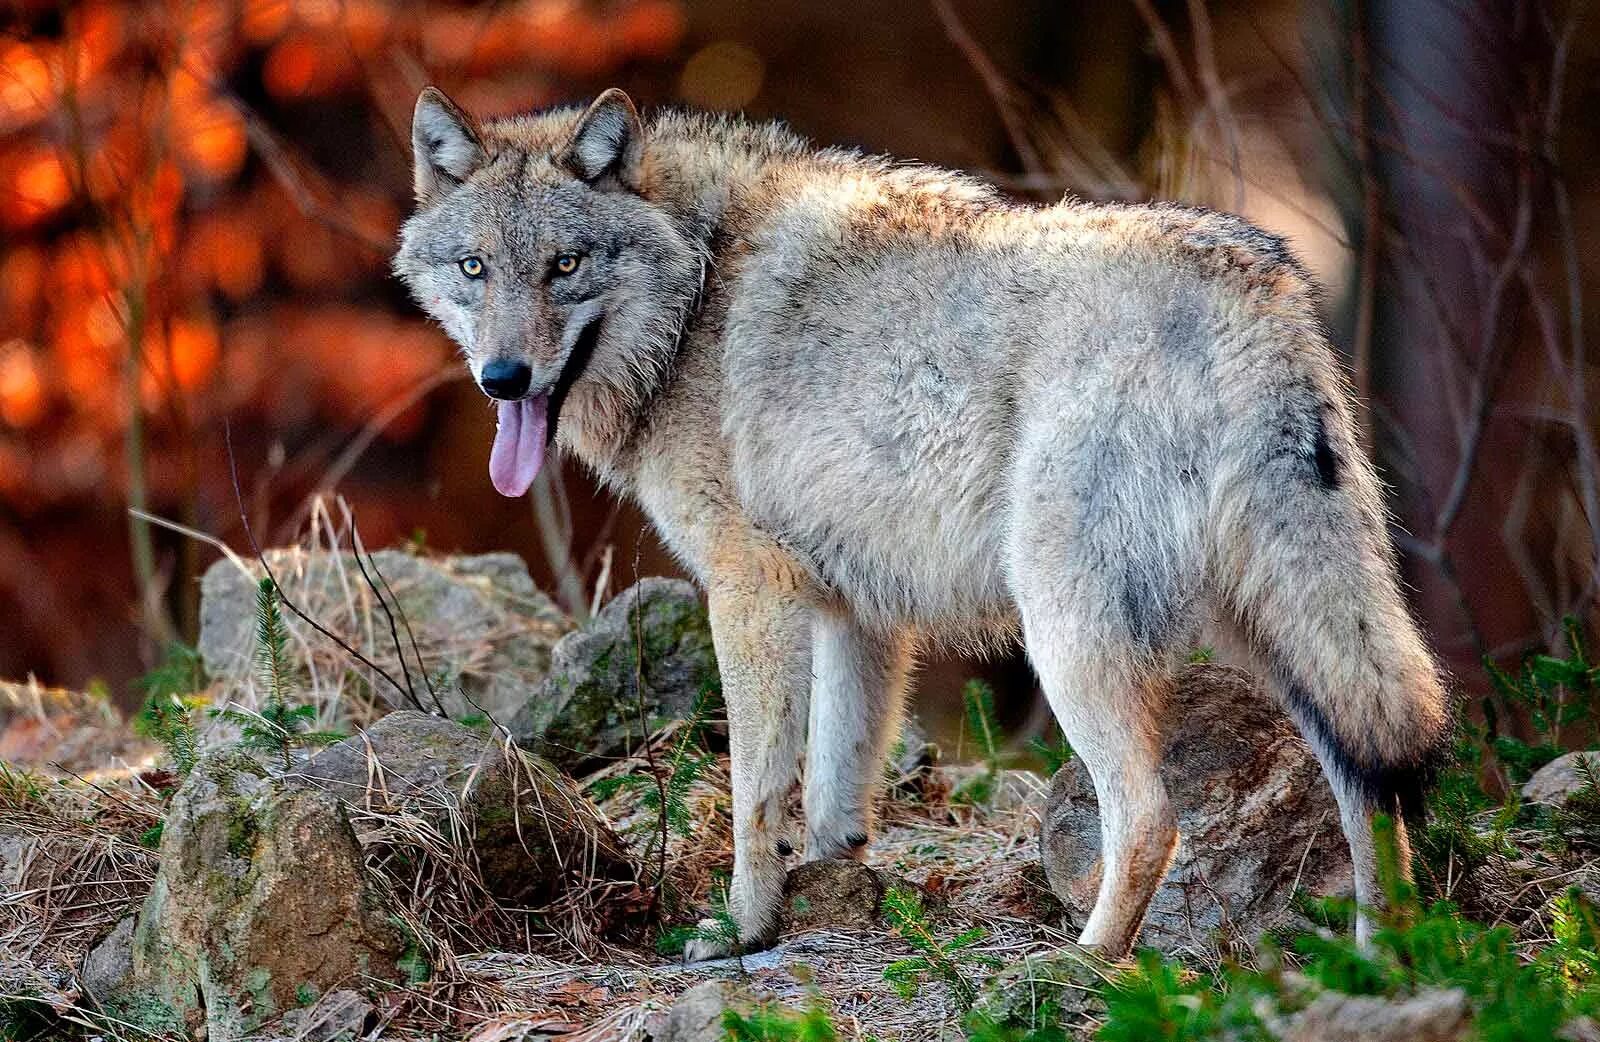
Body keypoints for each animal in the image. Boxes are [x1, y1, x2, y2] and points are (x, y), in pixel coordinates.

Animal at [393, 87, 1459, 960]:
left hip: (1071, 638)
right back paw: (1385, 962)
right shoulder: (853, 614)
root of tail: (1257, 290)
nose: (503, 379)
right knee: (1372, 791)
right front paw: (826, 891)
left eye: (565, 265)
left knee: (1154, 817)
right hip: (1282, 637)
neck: (695, 289)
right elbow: (835, 786)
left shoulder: (750, 593)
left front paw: (740, 929)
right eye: (476, 268)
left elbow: (754, 794)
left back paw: (1084, 965)